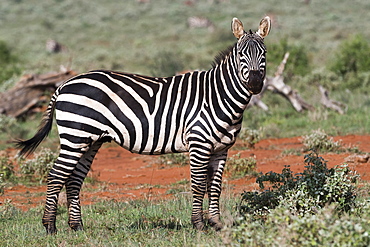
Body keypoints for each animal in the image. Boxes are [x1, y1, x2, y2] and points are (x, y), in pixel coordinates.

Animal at [15, 16, 272, 233]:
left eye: (264, 53)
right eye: (240, 54)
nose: (255, 83)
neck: (218, 96)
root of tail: (64, 84)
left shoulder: (221, 149)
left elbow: (215, 187)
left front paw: (216, 224)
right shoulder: (199, 144)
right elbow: (199, 185)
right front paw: (199, 225)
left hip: (91, 140)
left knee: (74, 179)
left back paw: (77, 227)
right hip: (75, 135)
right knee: (56, 175)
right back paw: (50, 226)